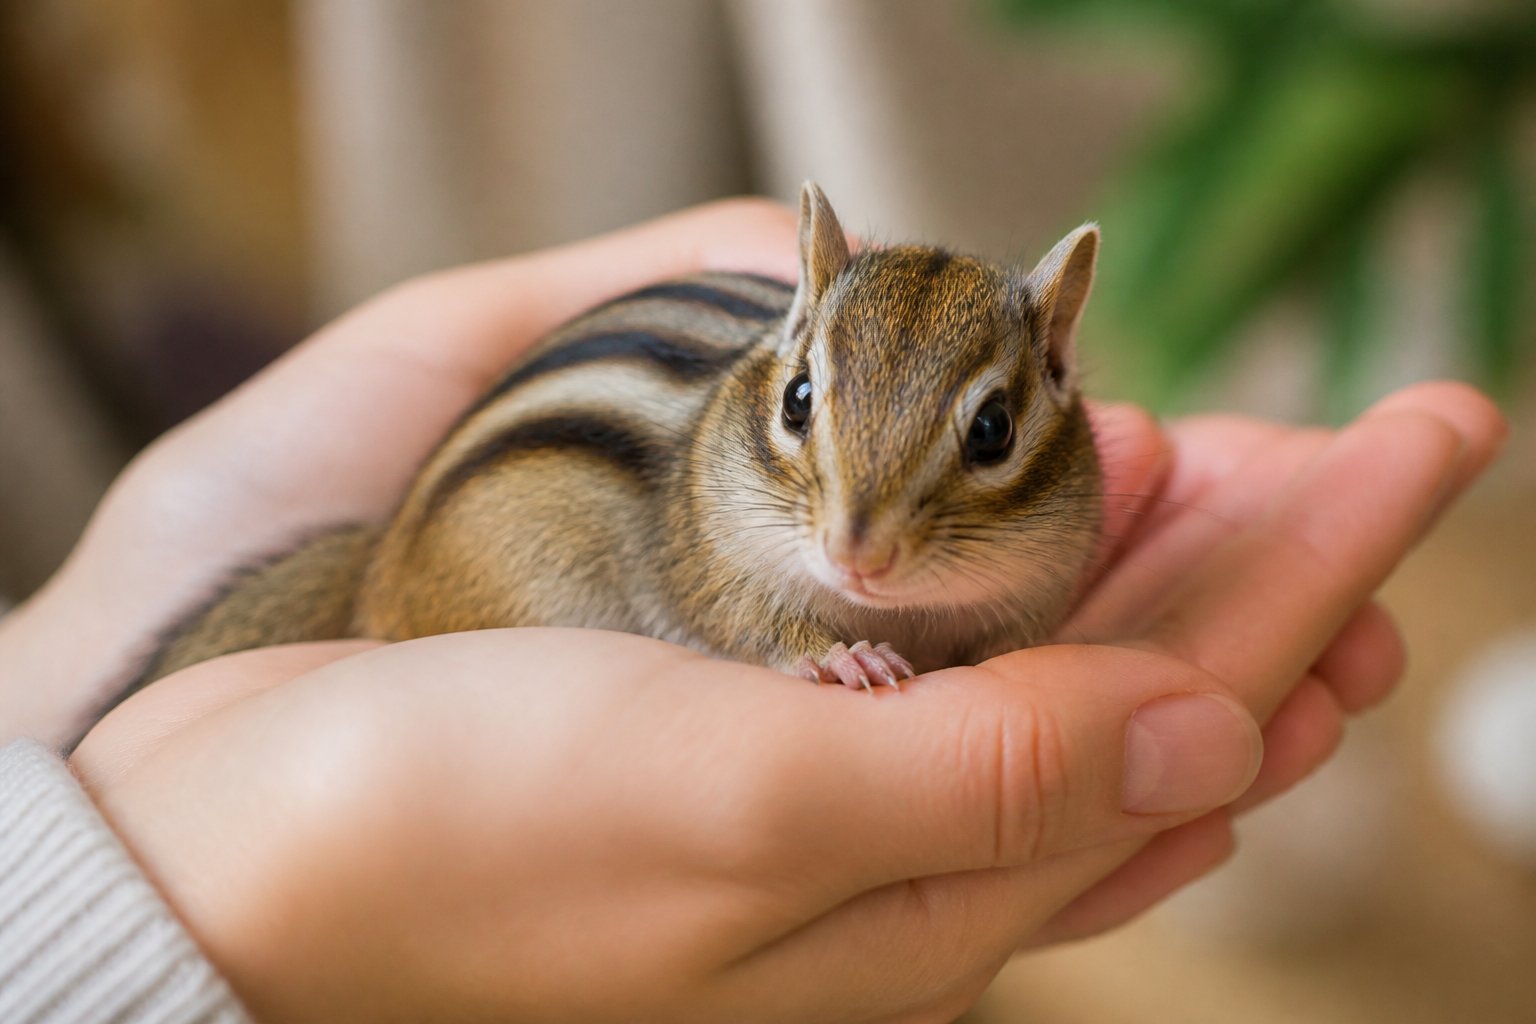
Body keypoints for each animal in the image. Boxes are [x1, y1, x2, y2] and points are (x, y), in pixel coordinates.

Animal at [130, 184, 1104, 696]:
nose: (856, 554)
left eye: (993, 430)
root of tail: (382, 558)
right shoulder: (710, 557)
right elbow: (755, 623)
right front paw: (847, 653)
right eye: (797, 401)